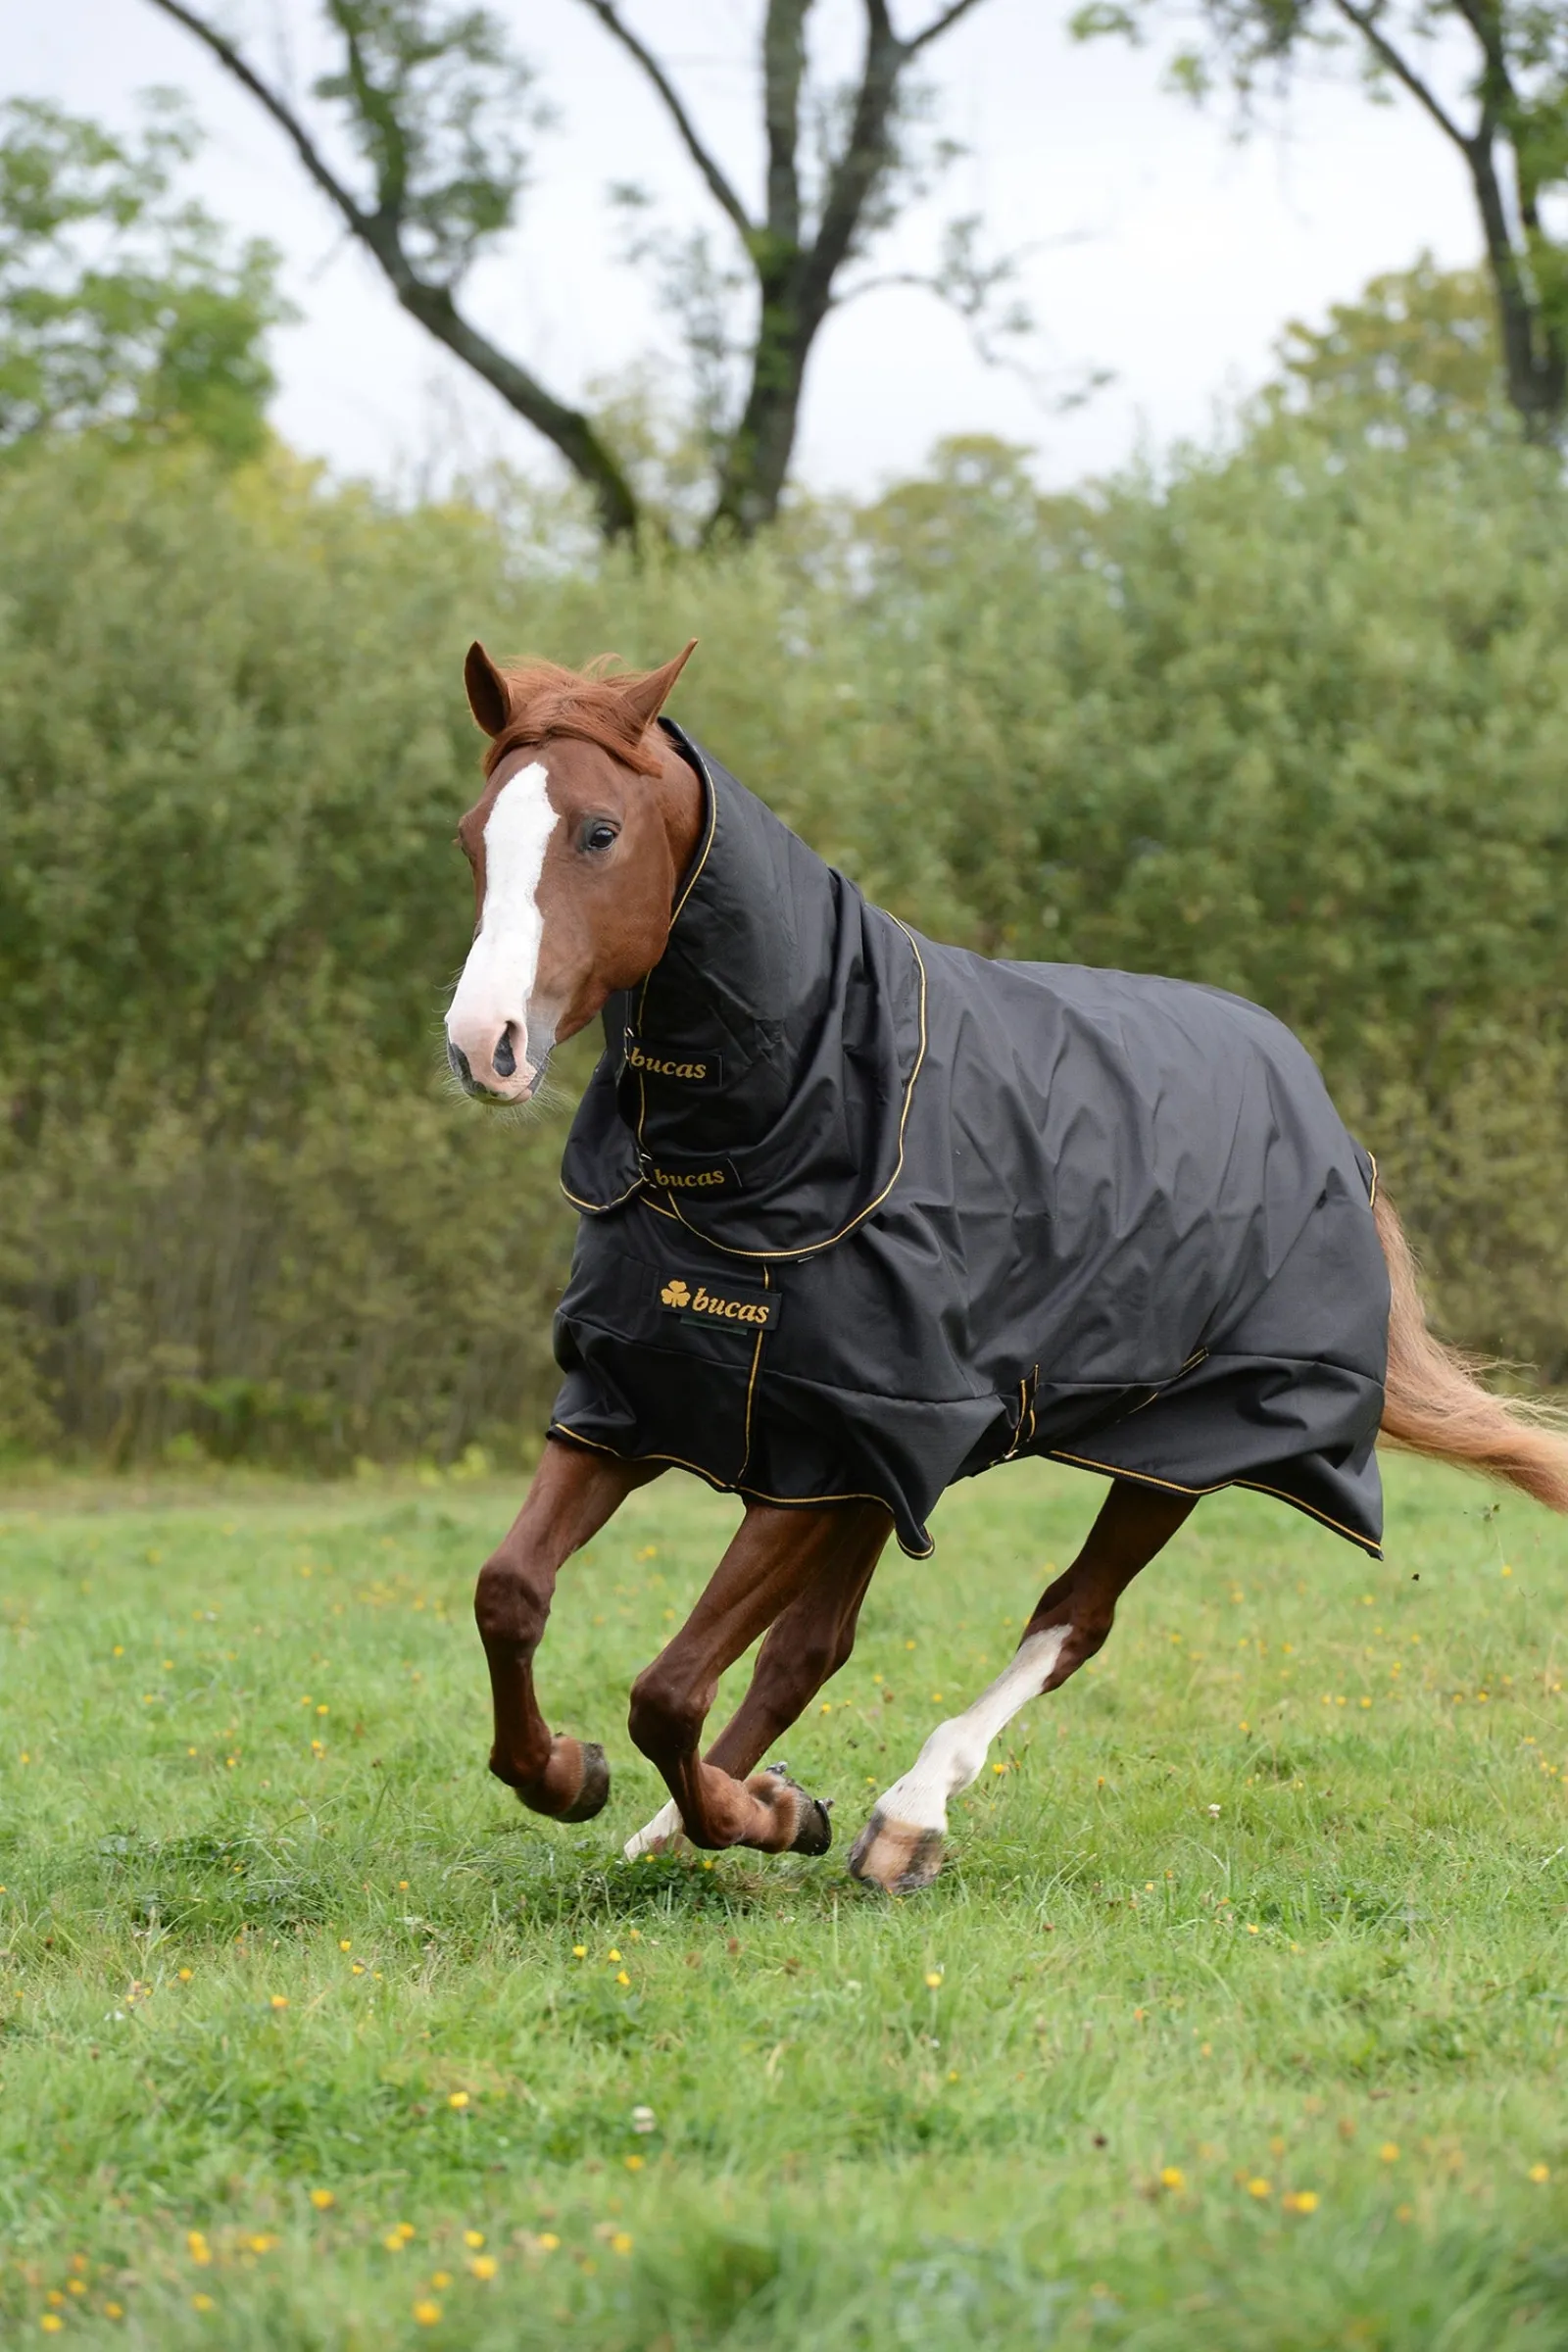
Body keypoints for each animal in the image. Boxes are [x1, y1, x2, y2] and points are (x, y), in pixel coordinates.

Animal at [444, 641, 1568, 1895]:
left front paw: (762, 1814)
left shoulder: (825, 1444)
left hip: (1175, 1447)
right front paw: (574, 1776)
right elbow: (512, 1595)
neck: (774, 1138)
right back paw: (705, 1822)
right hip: (893, 1473)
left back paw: (899, 1819)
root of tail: (1324, 1119)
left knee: (1069, 1619)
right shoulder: (650, 1405)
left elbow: (666, 1689)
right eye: (474, 835)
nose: (484, 1044)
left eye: (598, 832)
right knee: (811, 1649)